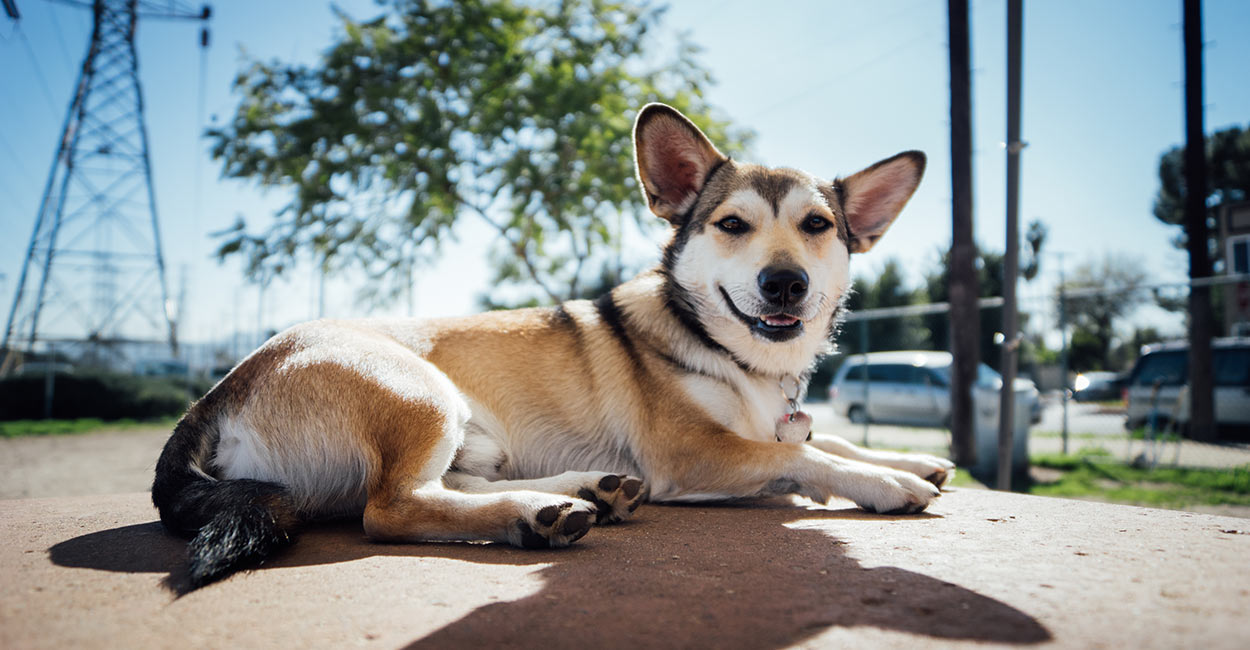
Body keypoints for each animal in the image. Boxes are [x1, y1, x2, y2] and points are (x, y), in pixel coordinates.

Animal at [151, 103, 950, 590]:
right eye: (731, 225)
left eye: (818, 226)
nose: (784, 283)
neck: (737, 357)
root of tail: (218, 391)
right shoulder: (697, 453)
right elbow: (803, 456)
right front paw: (889, 482)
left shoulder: (765, 425)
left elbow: (827, 440)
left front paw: (907, 459)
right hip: (421, 394)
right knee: (393, 508)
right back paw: (536, 517)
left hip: (464, 433)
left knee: (449, 487)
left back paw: (575, 495)